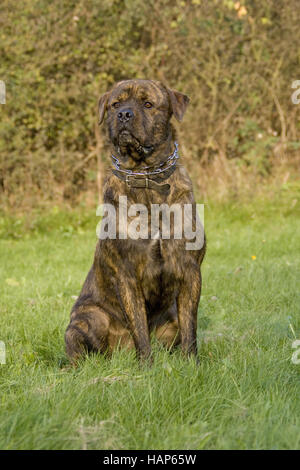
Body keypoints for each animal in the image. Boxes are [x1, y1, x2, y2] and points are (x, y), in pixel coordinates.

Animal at [65, 80, 206, 364]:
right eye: (115, 104)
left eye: (148, 104)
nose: (124, 115)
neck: (146, 176)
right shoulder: (127, 275)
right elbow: (139, 328)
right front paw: (147, 367)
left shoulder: (190, 271)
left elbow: (190, 328)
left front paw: (192, 364)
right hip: (87, 318)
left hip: (170, 317)